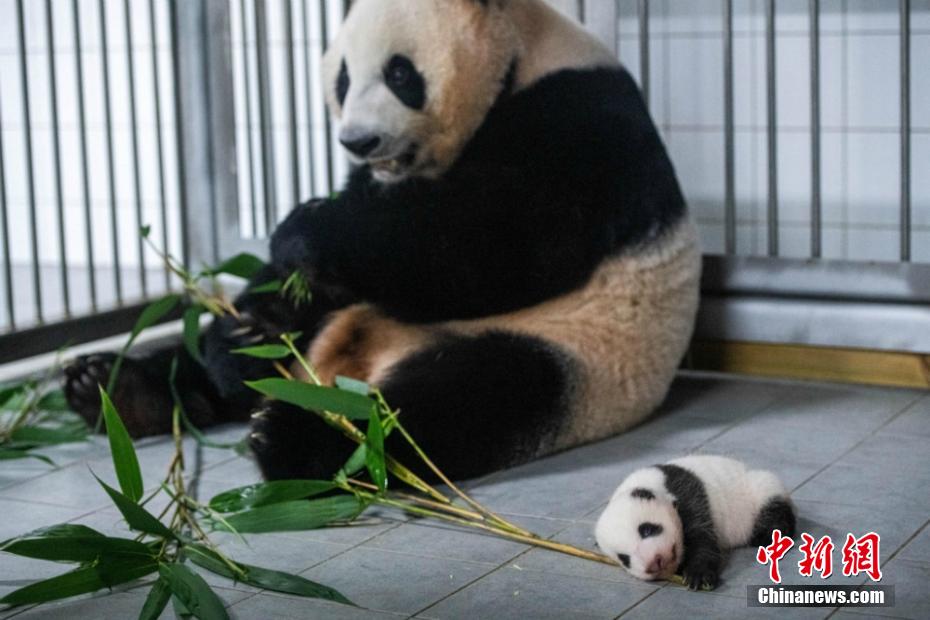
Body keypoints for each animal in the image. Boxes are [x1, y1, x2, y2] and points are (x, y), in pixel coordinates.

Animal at [63, 0, 696, 482]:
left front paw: (302, 228)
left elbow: (493, 246)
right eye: (342, 78)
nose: (358, 141)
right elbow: (339, 255)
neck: (525, 55)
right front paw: (254, 324)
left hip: (571, 354)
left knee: (457, 402)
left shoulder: (578, 121)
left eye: (399, 74)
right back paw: (115, 388)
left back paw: (291, 434)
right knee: (200, 360)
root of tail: (341, 369)